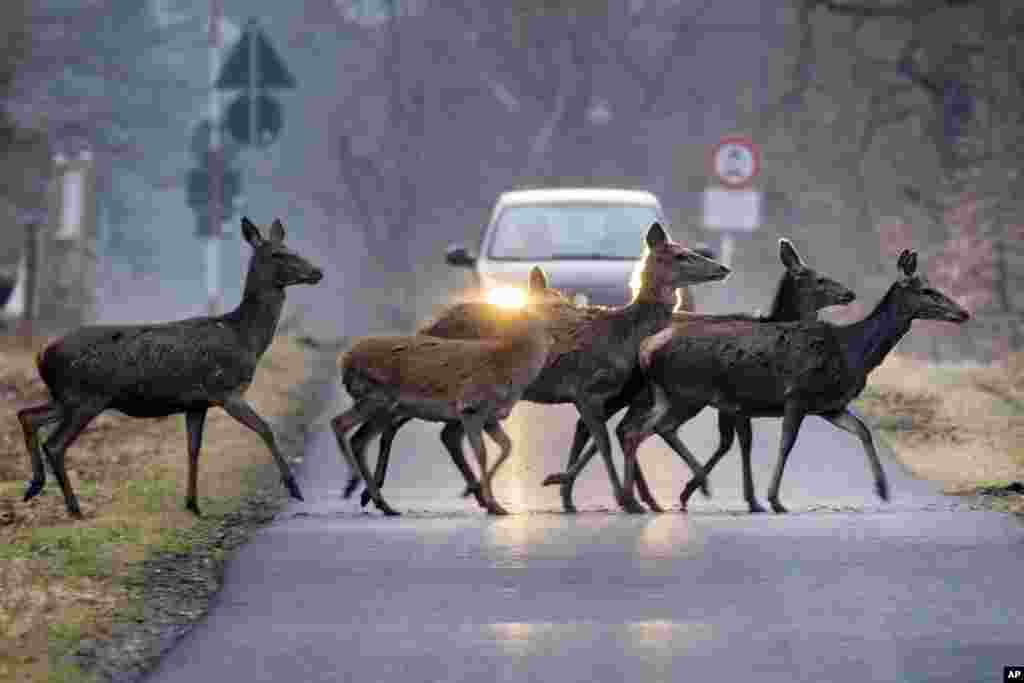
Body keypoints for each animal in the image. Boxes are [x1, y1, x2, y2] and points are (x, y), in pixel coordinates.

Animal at [19, 218, 323, 518]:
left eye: (292, 248)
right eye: (278, 254)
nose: (317, 271)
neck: (245, 337)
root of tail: (41, 354)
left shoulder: (196, 403)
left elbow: (193, 449)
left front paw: (193, 504)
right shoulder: (227, 391)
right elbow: (265, 429)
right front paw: (294, 487)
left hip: (67, 397)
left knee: (27, 415)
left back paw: (34, 486)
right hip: (87, 398)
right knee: (55, 444)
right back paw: (74, 508)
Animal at [339, 264, 573, 509]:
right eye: (557, 303)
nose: (577, 317)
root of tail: (344, 362)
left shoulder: (486, 415)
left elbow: (505, 446)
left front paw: (484, 495)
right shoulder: (471, 408)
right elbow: (483, 451)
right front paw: (488, 499)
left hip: (389, 405)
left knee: (380, 434)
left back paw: (370, 494)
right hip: (385, 400)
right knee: (373, 430)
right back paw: (365, 491)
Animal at [552, 240, 856, 511]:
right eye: (819, 278)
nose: (849, 293)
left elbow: (729, 441)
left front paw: (699, 490)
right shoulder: (737, 399)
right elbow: (739, 441)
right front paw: (746, 498)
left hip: (639, 394)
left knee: (605, 426)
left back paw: (590, 493)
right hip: (648, 392)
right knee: (616, 427)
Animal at [618, 249, 970, 511]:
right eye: (927, 290)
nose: (963, 313)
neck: (853, 352)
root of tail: (648, 349)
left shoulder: (830, 405)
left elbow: (863, 431)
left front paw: (882, 489)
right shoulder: (797, 395)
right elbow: (786, 444)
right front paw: (773, 499)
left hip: (669, 395)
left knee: (636, 431)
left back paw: (650, 496)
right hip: (688, 393)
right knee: (652, 429)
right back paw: (674, 492)